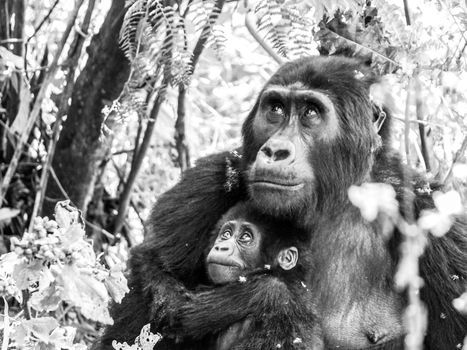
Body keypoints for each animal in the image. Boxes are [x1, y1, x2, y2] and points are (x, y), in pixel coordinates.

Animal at [96, 56, 467, 348]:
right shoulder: (212, 177)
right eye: (275, 109)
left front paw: (258, 295)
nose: (275, 150)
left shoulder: (437, 221)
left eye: (311, 113)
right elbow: (155, 273)